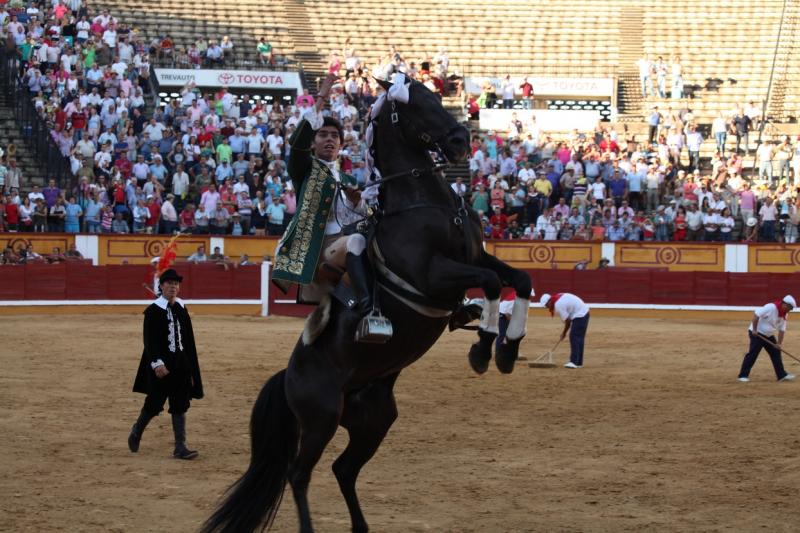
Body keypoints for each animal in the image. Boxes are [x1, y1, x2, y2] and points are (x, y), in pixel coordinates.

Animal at [203, 75, 536, 532]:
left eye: (436, 96)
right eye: (413, 106)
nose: (460, 140)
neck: (425, 201)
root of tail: (288, 375)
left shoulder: (475, 257)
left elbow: (520, 280)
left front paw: (508, 350)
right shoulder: (433, 275)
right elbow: (488, 284)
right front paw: (483, 350)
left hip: (374, 420)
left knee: (343, 469)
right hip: (322, 417)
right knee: (299, 473)